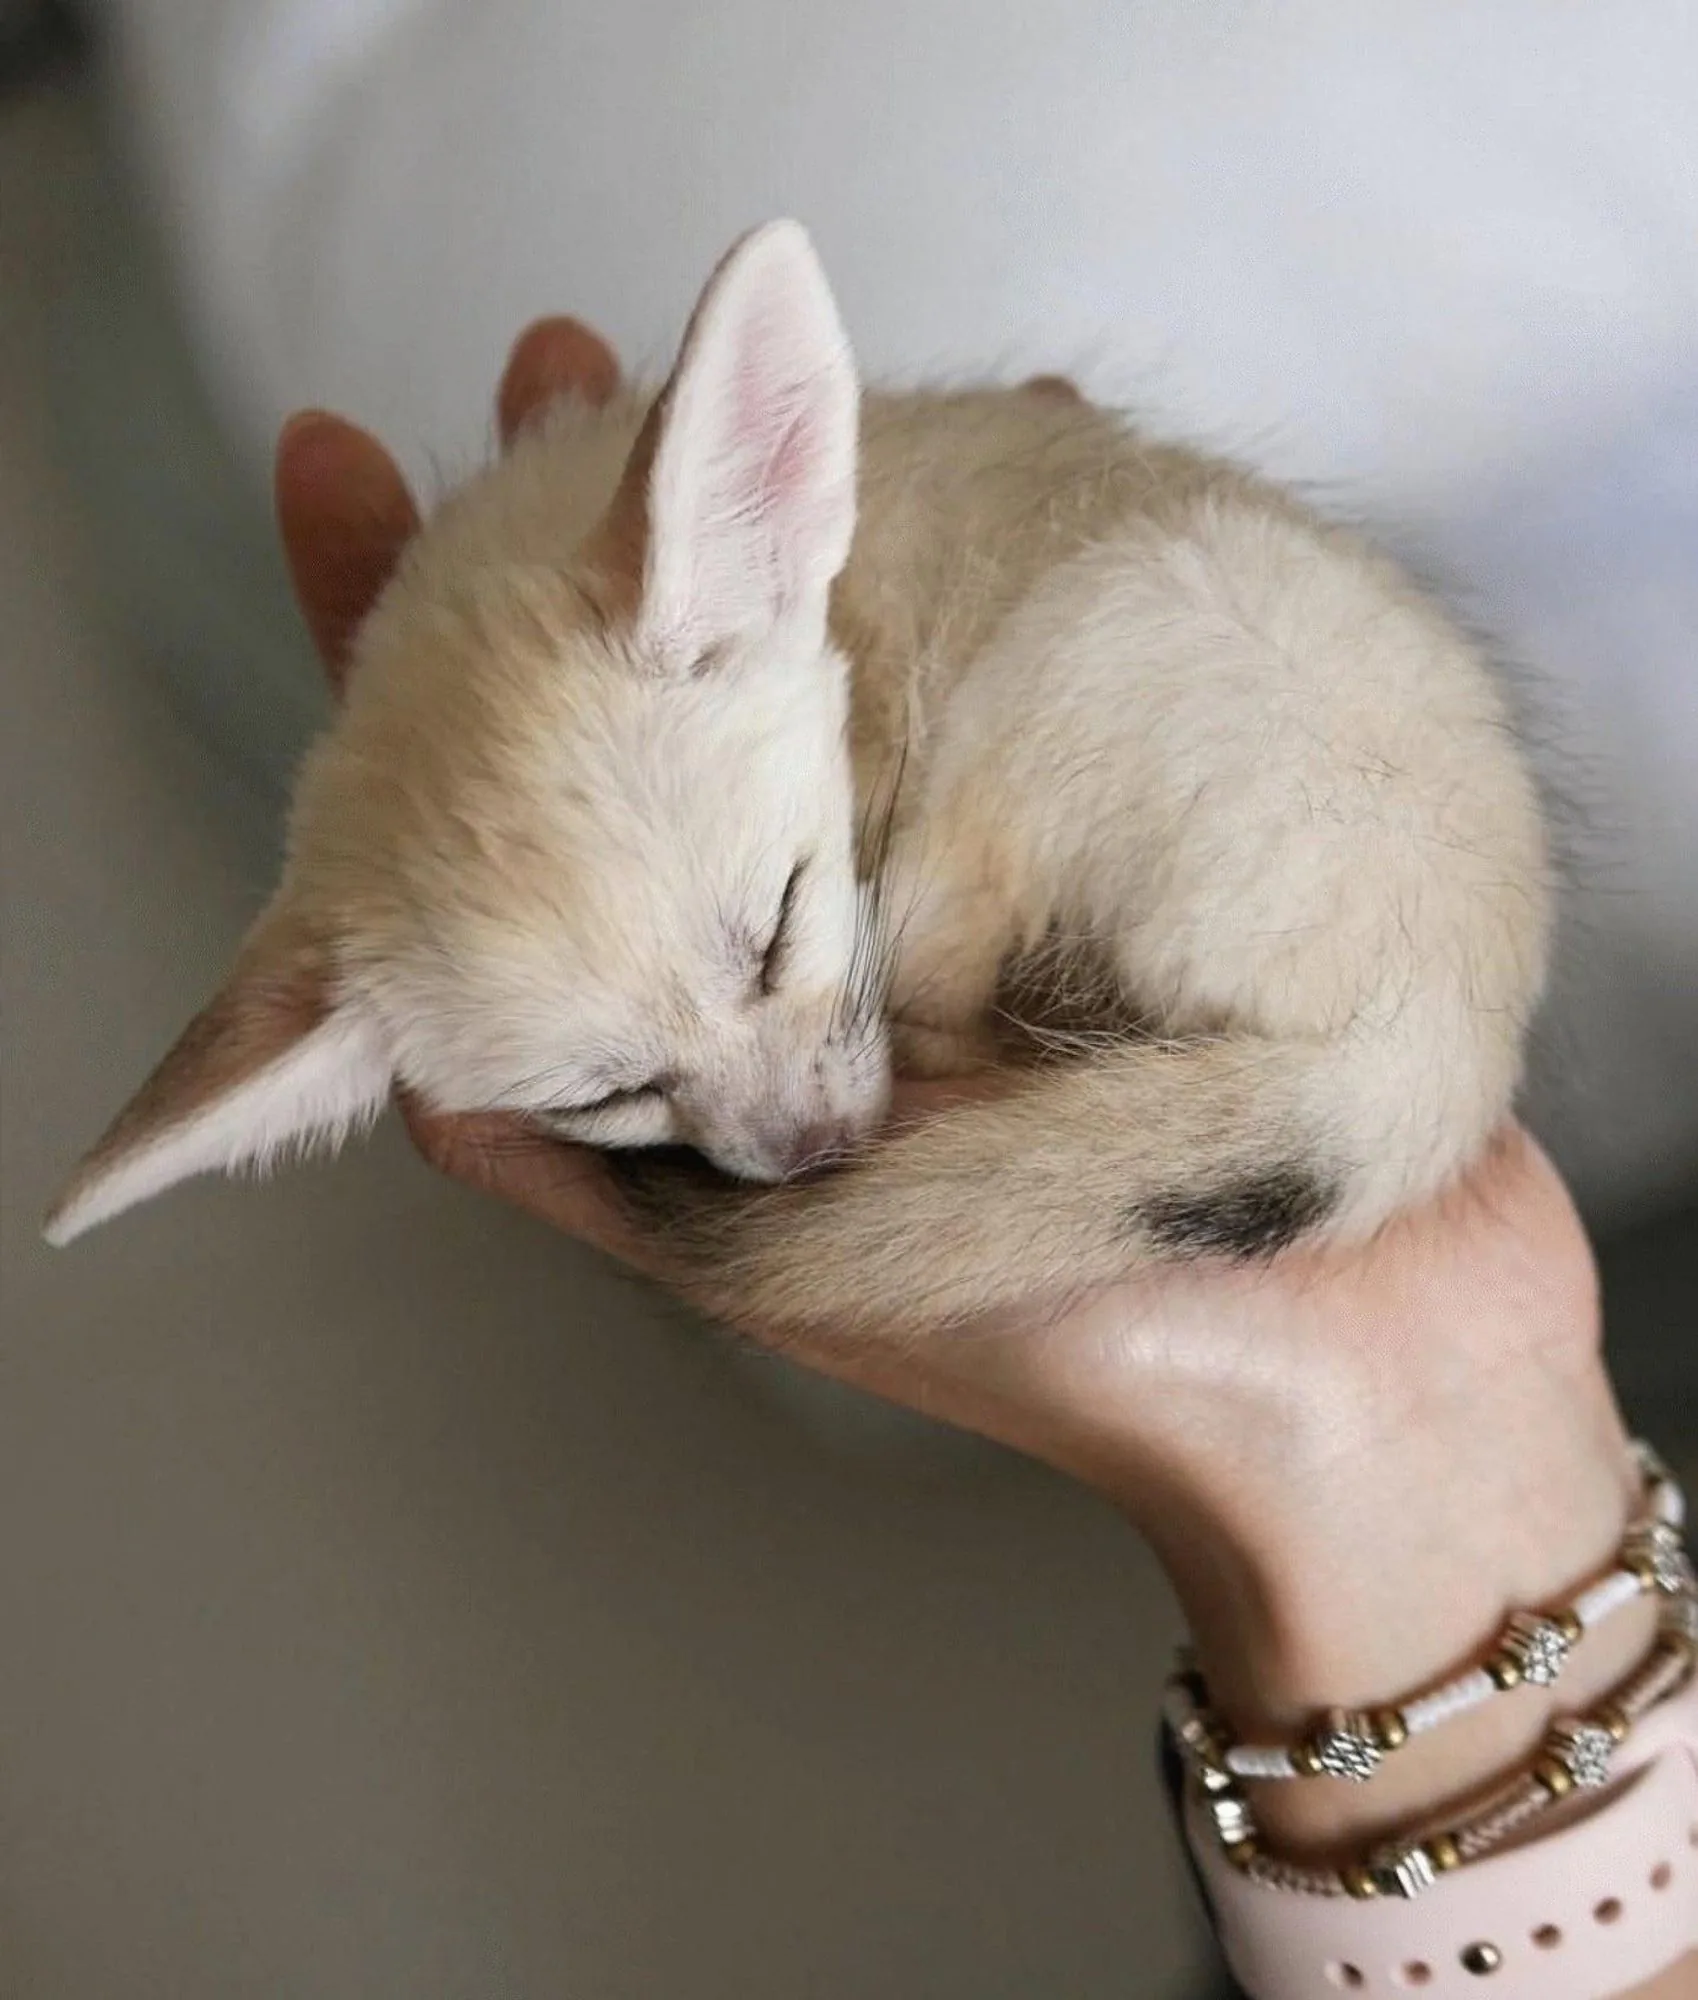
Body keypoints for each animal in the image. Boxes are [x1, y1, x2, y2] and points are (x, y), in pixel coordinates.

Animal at [45, 220, 1551, 1340]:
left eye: (779, 928)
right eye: (601, 1098)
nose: (818, 1156)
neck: (839, 609)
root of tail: (1445, 1031)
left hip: (1074, 659)